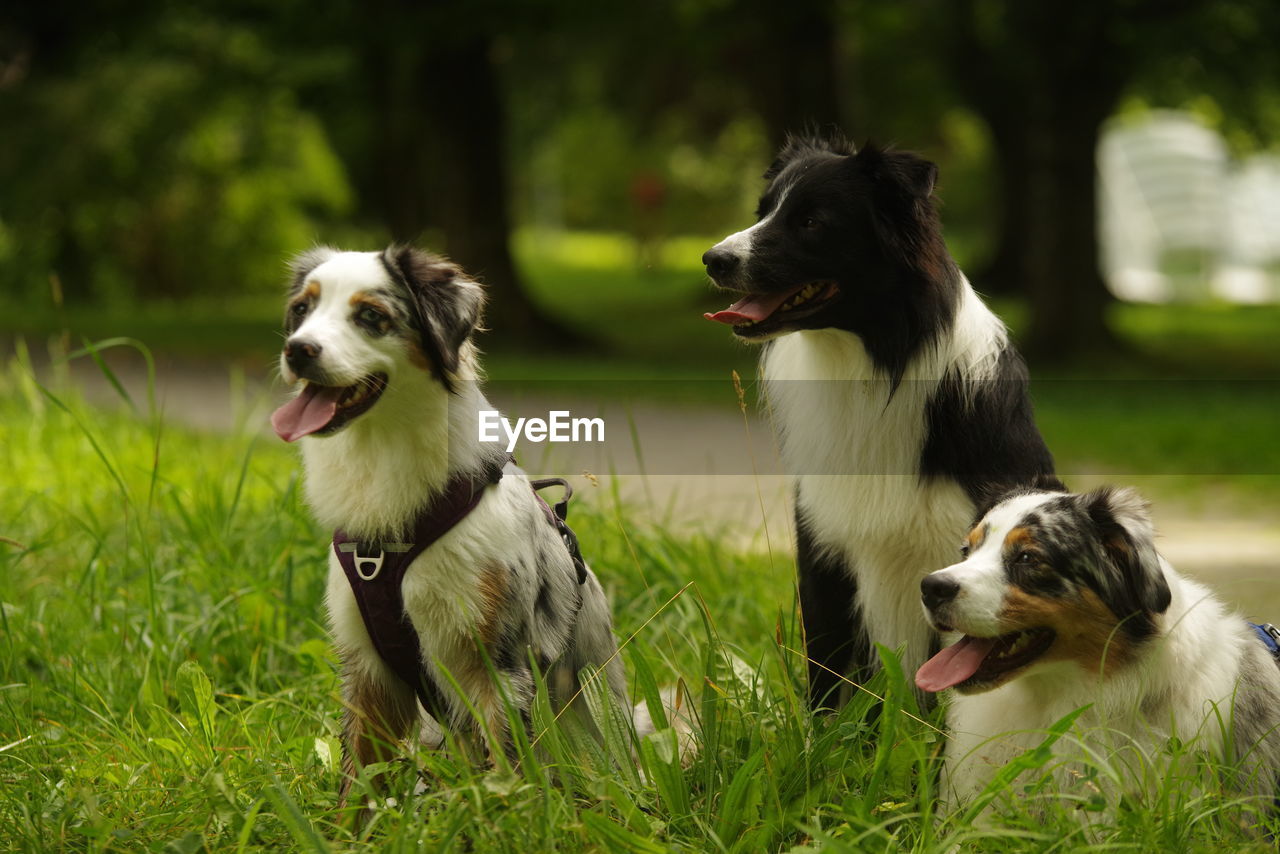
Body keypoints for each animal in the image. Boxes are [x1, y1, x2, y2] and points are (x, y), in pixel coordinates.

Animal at [271, 245, 629, 809]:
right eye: (302, 310)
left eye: (370, 315)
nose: (297, 350)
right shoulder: (367, 666)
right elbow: (356, 785)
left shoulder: (497, 664)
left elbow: (507, 774)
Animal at [706, 135, 1054, 706]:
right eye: (764, 212)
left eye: (811, 221)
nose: (713, 259)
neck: (872, 365)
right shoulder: (823, 552)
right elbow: (827, 681)